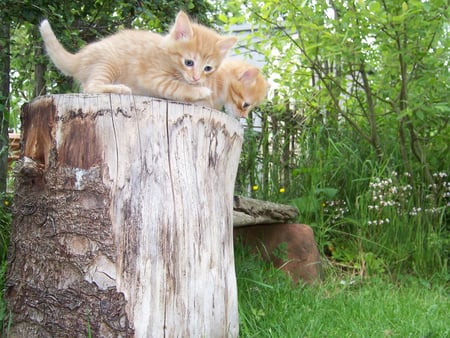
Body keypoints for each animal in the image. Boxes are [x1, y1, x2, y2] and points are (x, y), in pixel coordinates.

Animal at [39, 12, 237, 101]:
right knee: (90, 87)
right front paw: (200, 91)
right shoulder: (153, 77)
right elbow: (177, 87)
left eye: (208, 68)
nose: (196, 78)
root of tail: (79, 57)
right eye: (189, 62)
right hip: (108, 62)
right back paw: (120, 88)